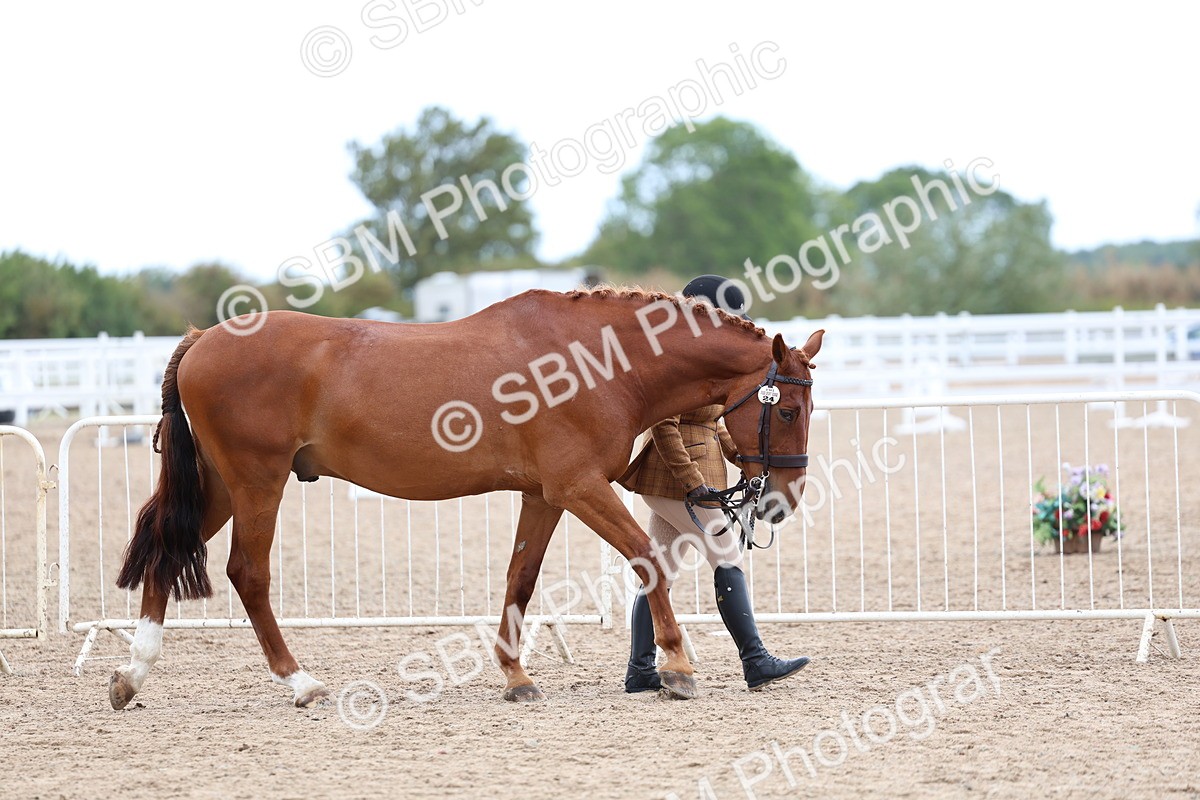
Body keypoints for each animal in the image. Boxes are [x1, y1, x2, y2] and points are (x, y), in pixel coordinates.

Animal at [110, 287, 823, 709]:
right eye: (786, 409)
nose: (781, 501)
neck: (595, 363)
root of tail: (203, 339)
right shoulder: (580, 487)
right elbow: (647, 558)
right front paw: (677, 668)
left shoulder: (546, 495)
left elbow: (521, 579)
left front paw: (516, 676)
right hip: (258, 481)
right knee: (246, 573)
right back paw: (300, 682)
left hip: (222, 486)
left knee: (166, 550)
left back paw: (131, 676)